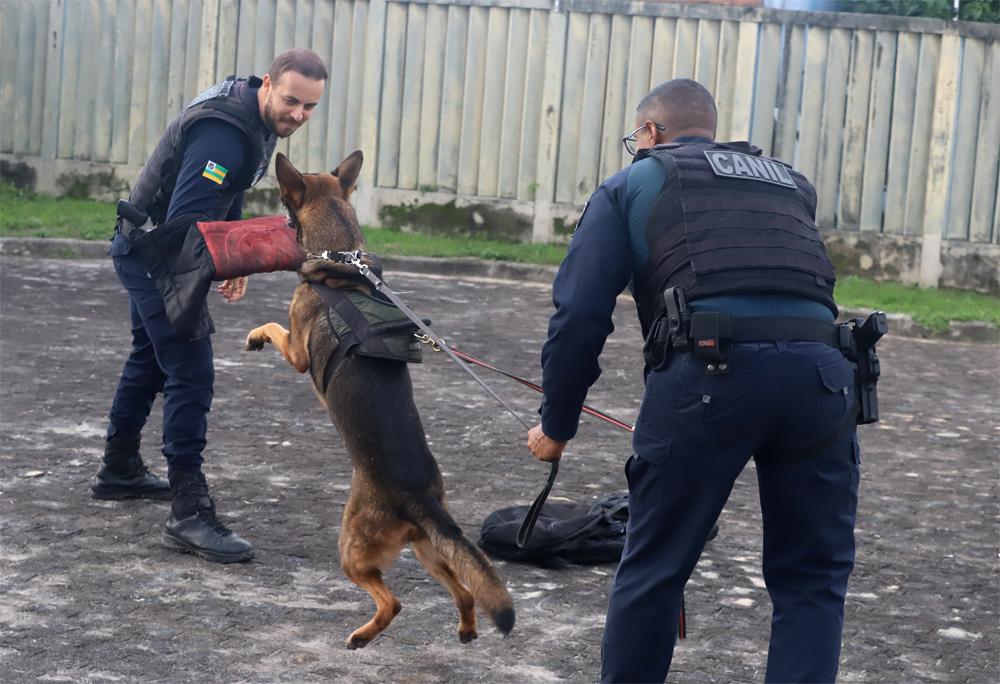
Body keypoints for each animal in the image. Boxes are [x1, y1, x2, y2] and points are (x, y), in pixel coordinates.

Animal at [243, 152, 516, 648]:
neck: (341, 254)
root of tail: (418, 499)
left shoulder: (297, 351)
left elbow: (274, 326)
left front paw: (254, 336)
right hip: (429, 549)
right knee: (465, 591)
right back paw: (465, 630)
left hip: (353, 547)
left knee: (393, 601)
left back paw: (361, 636)